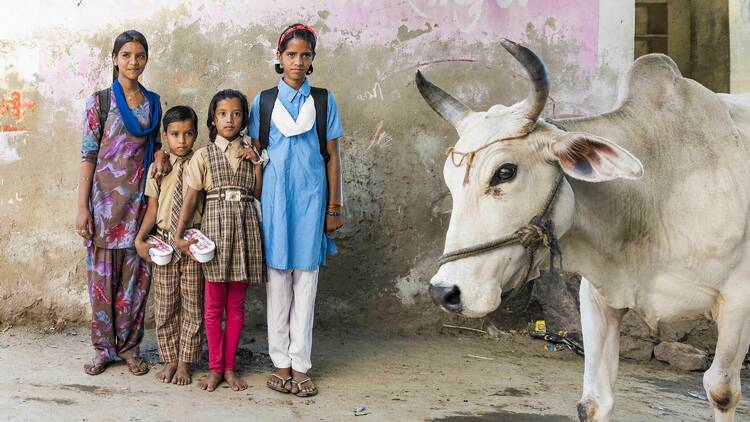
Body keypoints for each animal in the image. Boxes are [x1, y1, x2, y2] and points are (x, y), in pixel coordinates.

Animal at [420, 38, 750, 420]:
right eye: (450, 179)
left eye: (505, 172)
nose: (444, 292)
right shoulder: (598, 296)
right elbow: (594, 402)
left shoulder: (739, 302)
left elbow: (722, 391)